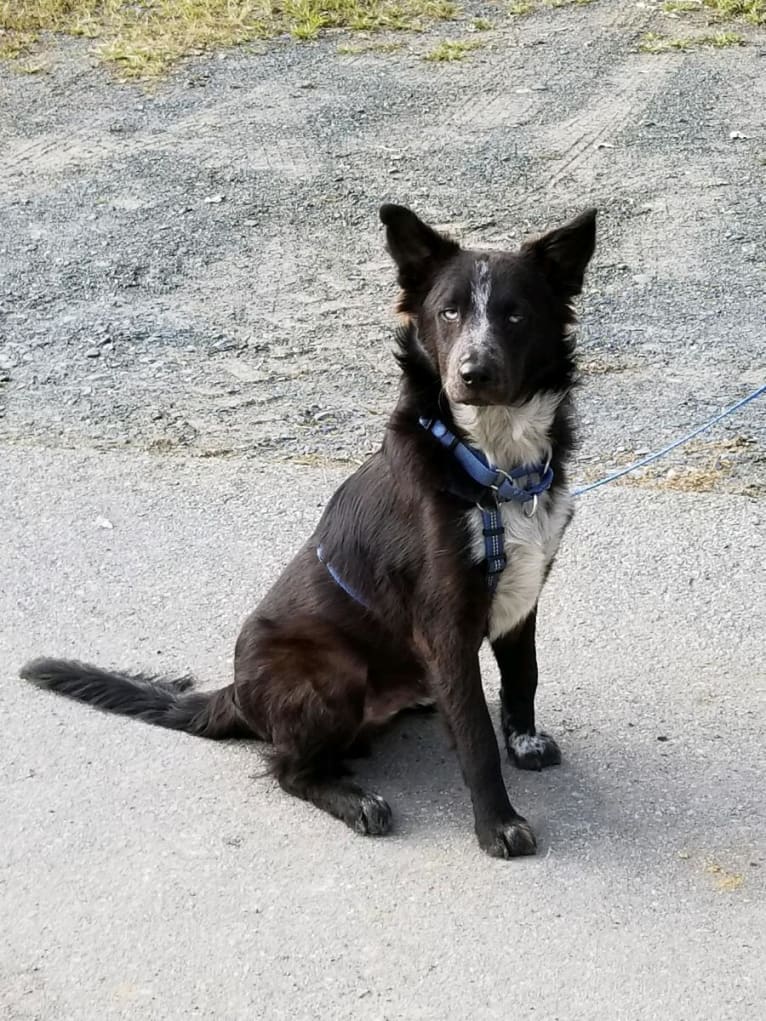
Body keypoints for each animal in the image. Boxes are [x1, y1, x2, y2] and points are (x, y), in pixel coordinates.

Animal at [22, 203, 600, 857]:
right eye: (449, 312)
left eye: (515, 313)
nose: (473, 373)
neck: (495, 467)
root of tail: (233, 692)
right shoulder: (447, 622)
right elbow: (475, 734)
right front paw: (497, 825)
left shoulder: (522, 593)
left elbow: (523, 676)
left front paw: (524, 743)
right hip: (328, 670)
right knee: (287, 768)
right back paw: (356, 800)